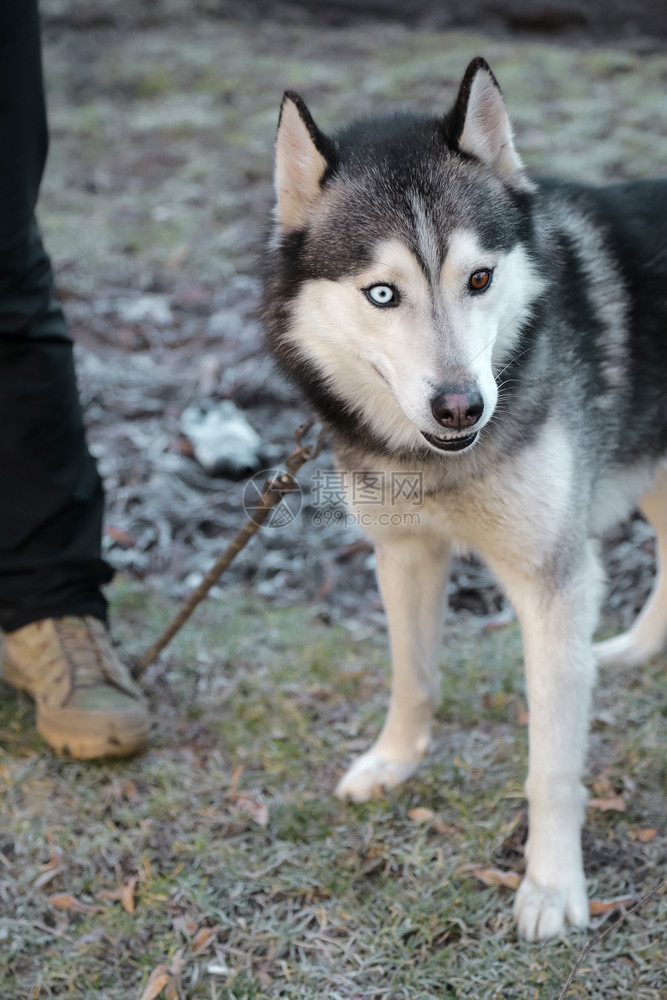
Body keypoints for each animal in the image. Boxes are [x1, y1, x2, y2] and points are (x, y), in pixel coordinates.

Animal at [262, 60, 667, 936]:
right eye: (382, 295)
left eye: (478, 279)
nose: (460, 408)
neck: (439, 461)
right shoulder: (404, 551)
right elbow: (413, 676)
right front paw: (392, 762)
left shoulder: (552, 582)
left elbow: (551, 766)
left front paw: (549, 887)